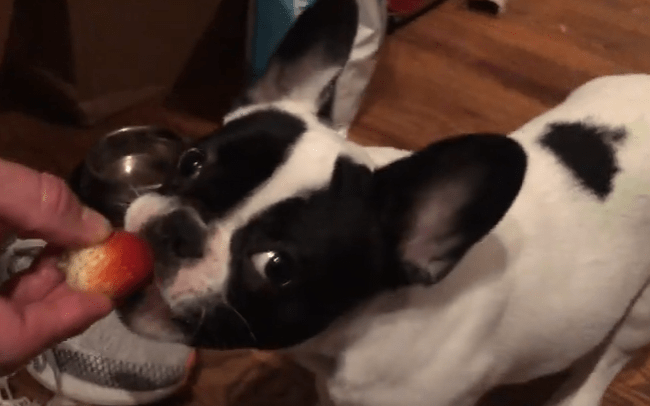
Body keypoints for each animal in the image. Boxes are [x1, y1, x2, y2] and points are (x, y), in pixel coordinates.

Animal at [117, 0, 650, 406]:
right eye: (190, 162)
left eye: (276, 266)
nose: (177, 228)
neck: (351, 333)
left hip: (638, 315)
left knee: (609, 356)